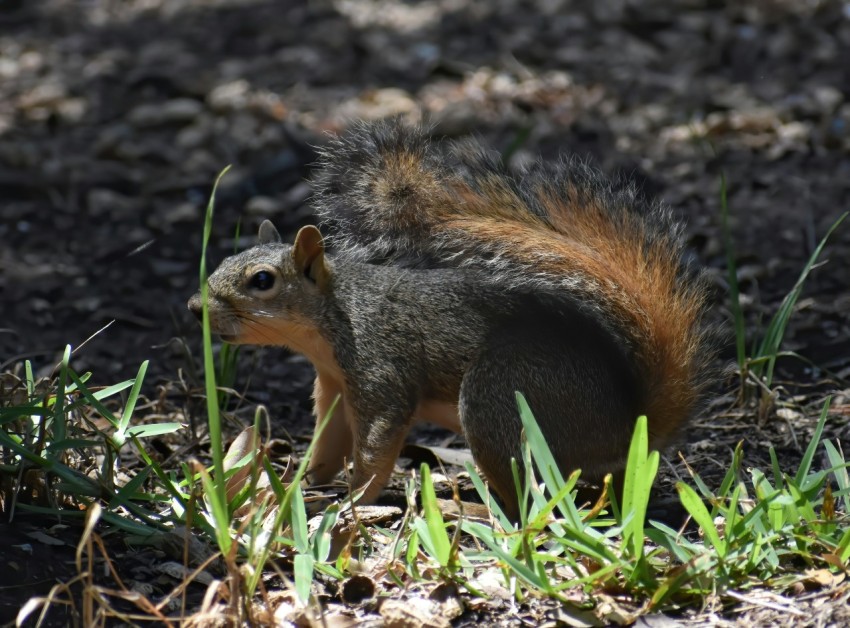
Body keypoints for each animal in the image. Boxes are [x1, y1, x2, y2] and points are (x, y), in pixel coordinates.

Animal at [189, 120, 712, 516]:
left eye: (262, 280)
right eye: (226, 260)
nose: (196, 309)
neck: (335, 316)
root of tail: (631, 425)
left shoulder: (380, 368)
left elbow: (378, 443)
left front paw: (353, 500)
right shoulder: (334, 384)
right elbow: (328, 441)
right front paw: (304, 481)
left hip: (500, 398)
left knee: (529, 503)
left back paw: (474, 510)